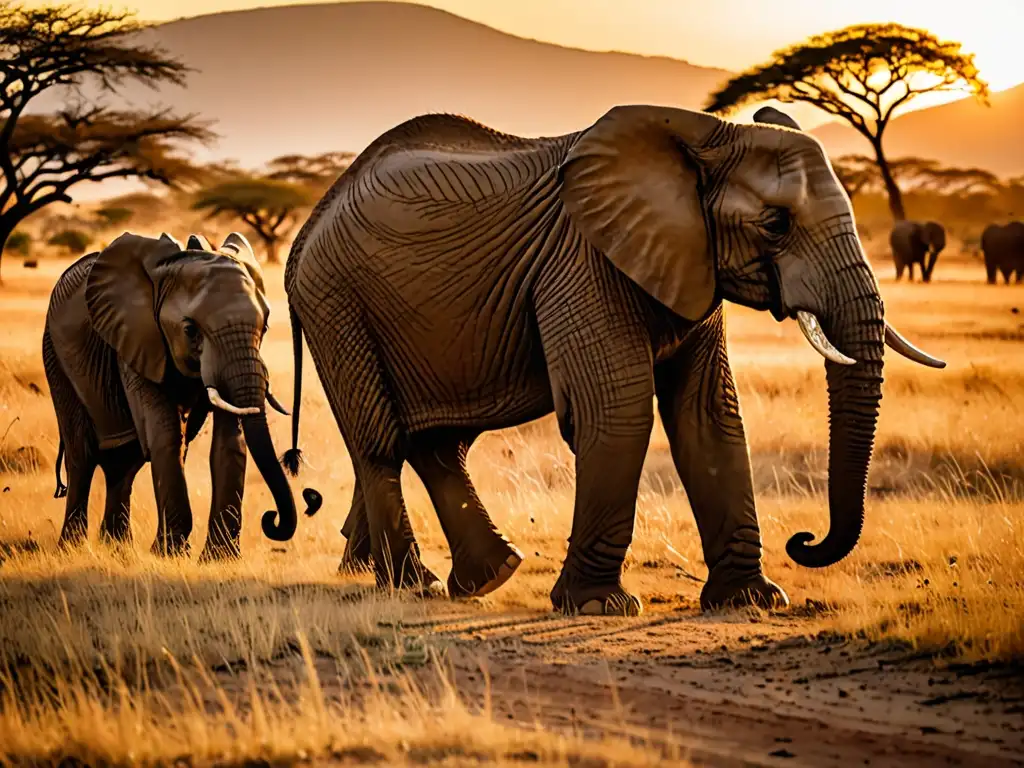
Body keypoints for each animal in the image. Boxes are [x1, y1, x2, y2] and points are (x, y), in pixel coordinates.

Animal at [45, 233, 319, 561]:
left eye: (264, 325)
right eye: (190, 330)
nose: (272, 518)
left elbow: (228, 440)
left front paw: (219, 558)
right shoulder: (137, 338)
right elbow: (166, 435)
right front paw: (171, 553)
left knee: (125, 461)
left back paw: (118, 549)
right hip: (55, 356)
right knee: (83, 456)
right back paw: (72, 548)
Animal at [278, 103, 942, 618]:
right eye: (775, 224)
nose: (804, 540)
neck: (705, 137)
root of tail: (308, 225)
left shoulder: (689, 261)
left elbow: (710, 418)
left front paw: (753, 601)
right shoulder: (583, 262)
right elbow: (618, 411)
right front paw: (600, 606)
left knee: (439, 443)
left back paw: (489, 576)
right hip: (337, 303)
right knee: (382, 444)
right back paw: (413, 585)